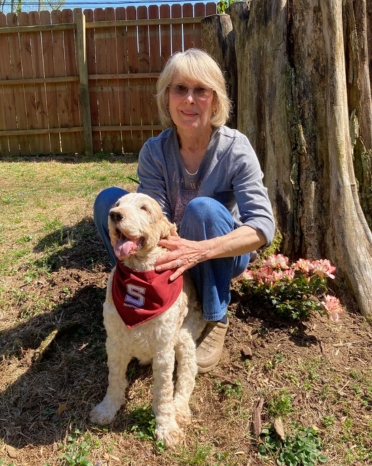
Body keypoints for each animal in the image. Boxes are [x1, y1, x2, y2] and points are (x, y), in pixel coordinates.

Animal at [90, 193, 206, 448]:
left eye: (144, 208)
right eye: (117, 205)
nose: (115, 215)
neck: (139, 274)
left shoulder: (164, 349)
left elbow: (163, 391)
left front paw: (166, 427)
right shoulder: (114, 342)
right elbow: (114, 379)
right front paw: (107, 409)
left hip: (184, 339)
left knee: (186, 376)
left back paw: (180, 410)